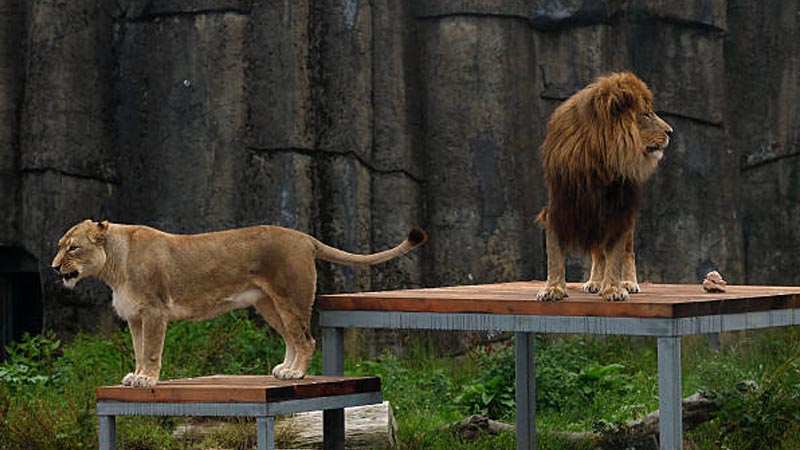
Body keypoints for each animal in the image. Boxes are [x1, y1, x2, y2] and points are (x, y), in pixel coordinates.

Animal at [51, 220, 427, 386]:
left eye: (73, 247)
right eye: (60, 245)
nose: (54, 267)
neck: (113, 267)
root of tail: (305, 237)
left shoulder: (155, 312)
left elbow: (152, 351)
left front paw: (147, 379)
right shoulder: (135, 317)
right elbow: (139, 349)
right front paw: (136, 375)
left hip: (290, 297)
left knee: (306, 339)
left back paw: (296, 373)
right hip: (269, 305)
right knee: (292, 338)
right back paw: (284, 369)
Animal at [536, 72, 673, 302]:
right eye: (646, 114)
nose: (671, 131)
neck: (599, 160)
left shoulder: (619, 210)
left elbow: (616, 256)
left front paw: (614, 289)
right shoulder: (560, 205)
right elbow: (554, 254)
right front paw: (553, 289)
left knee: (627, 252)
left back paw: (628, 283)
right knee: (598, 251)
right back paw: (594, 282)